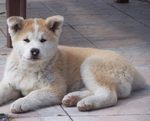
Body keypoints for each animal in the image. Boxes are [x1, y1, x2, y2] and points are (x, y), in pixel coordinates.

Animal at [0, 15, 146, 113]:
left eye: (43, 40)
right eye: (26, 40)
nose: (35, 51)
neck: (30, 69)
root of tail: (134, 70)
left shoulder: (55, 88)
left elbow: (34, 94)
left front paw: (21, 102)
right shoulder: (10, 82)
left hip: (91, 64)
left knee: (109, 94)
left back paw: (87, 103)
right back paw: (73, 98)